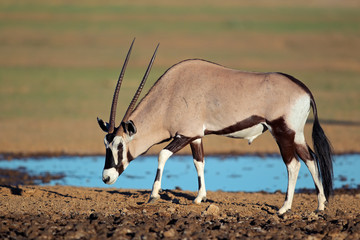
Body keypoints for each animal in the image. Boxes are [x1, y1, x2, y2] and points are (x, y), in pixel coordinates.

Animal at [97, 39, 334, 214]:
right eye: (106, 144)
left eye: (119, 146)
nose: (106, 177)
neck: (170, 93)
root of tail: (305, 91)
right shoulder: (196, 136)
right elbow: (199, 162)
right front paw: (199, 198)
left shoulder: (184, 134)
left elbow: (162, 155)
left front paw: (153, 195)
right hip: (297, 134)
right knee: (310, 159)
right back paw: (320, 206)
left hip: (282, 132)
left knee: (293, 164)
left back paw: (284, 208)